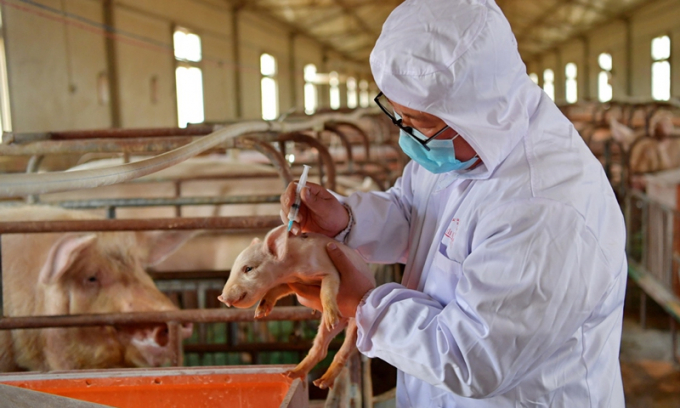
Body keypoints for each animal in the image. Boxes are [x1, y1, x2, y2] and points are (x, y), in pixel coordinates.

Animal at [218, 226, 374, 388]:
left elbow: (326, 290)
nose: (221, 297)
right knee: (320, 350)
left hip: (356, 324)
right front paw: (260, 312)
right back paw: (293, 375)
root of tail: (345, 320)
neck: (294, 270)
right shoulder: (290, 282)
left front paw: (332, 318)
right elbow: (275, 290)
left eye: (248, 269)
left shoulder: (330, 271)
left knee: (344, 351)